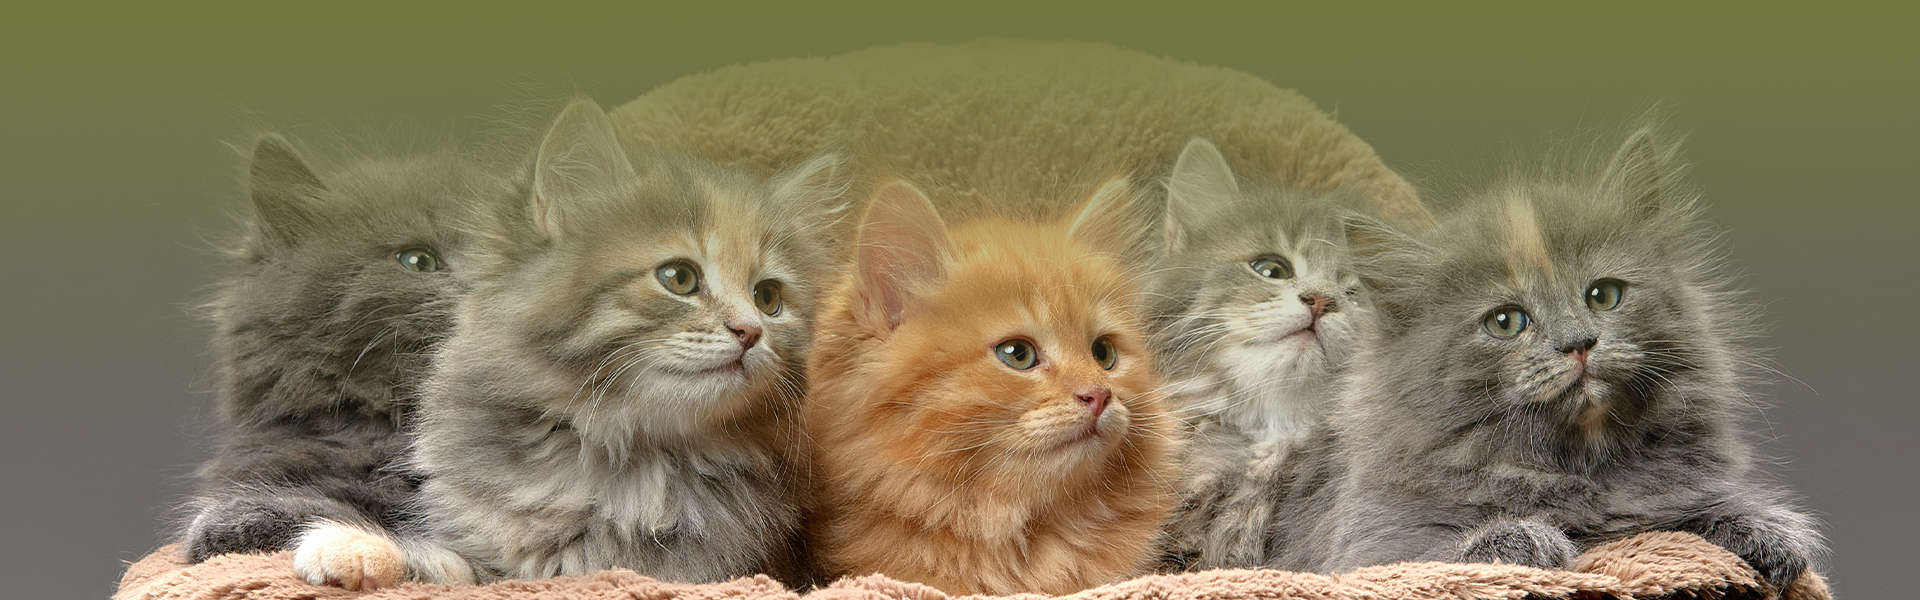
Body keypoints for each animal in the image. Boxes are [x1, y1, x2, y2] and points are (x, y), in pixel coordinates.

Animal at [299, 99, 840, 584]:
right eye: (679, 278)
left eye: (768, 298)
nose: (750, 331)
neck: (621, 458)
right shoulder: (495, 556)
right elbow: (452, 566)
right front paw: (351, 547)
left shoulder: (731, 568)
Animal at [1282, 125, 1820, 592]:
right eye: (1505, 322)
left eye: (1604, 295)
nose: (1579, 342)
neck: (1580, 464)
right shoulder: (1370, 544)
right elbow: (1435, 556)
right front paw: (1523, 539)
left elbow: (1692, 517)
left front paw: (1763, 530)